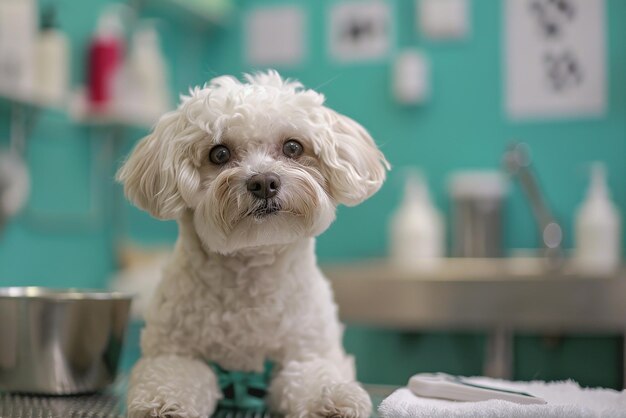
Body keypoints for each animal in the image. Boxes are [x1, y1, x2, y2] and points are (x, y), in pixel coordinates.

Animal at [116, 72, 386, 418]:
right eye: (219, 154)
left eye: (293, 147)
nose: (264, 182)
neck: (251, 276)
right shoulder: (173, 353)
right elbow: (172, 376)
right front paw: (163, 404)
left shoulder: (306, 353)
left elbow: (313, 377)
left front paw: (332, 400)